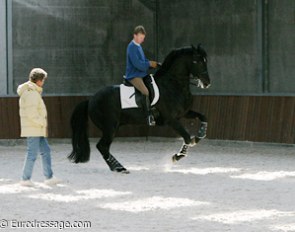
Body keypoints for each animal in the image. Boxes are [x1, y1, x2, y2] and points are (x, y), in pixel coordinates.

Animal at [68, 44, 212, 173]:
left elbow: (203, 116)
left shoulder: (184, 113)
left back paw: (117, 167)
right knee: (102, 146)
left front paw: (199, 136)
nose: (207, 83)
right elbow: (186, 137)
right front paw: (176, 157)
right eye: (196, 61)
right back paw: (119, 168)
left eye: (205, 60)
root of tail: (91, 100)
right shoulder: (171, 120)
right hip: (110, 127)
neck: (173, 84)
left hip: (112, 127)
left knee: (104, 147)